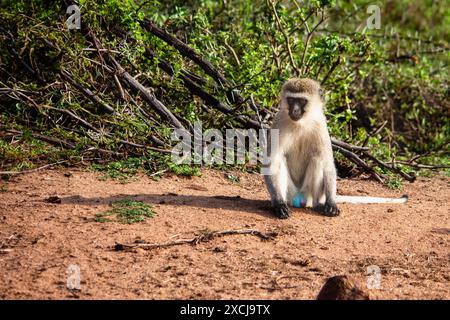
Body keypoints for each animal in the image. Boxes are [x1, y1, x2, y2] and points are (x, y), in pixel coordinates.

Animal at [264, 78, 408, 218]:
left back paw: (319, 205)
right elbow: (272, 163)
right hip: (290, 192)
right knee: (281, 161)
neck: (301, 123)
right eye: (291, 100)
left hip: (308, 193)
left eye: (301, 101)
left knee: (318, 159)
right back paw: (282, 203)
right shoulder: (279, 121)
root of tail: (300, 198)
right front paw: (279, 204)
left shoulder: (321, 124)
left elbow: (327, 162)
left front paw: (331, 203)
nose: (294, 110)